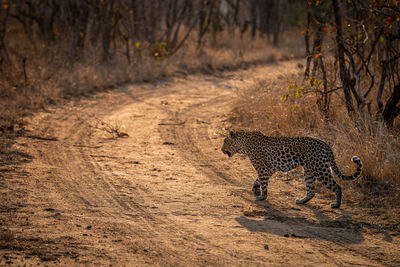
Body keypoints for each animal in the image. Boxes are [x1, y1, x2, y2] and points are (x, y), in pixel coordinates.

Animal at [222, 130, 362, 209]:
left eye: (225, 142)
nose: (221, 149)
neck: (244, 144)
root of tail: (326, 144)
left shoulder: (262, 168)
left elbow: (263, 182)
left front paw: (262, 196)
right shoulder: (269, 169)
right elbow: (258, 180)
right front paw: (256, 189)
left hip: (320, 169)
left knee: (337, 186)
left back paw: (336, 205)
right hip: (309, 171)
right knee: (311, 191)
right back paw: (301, 201)